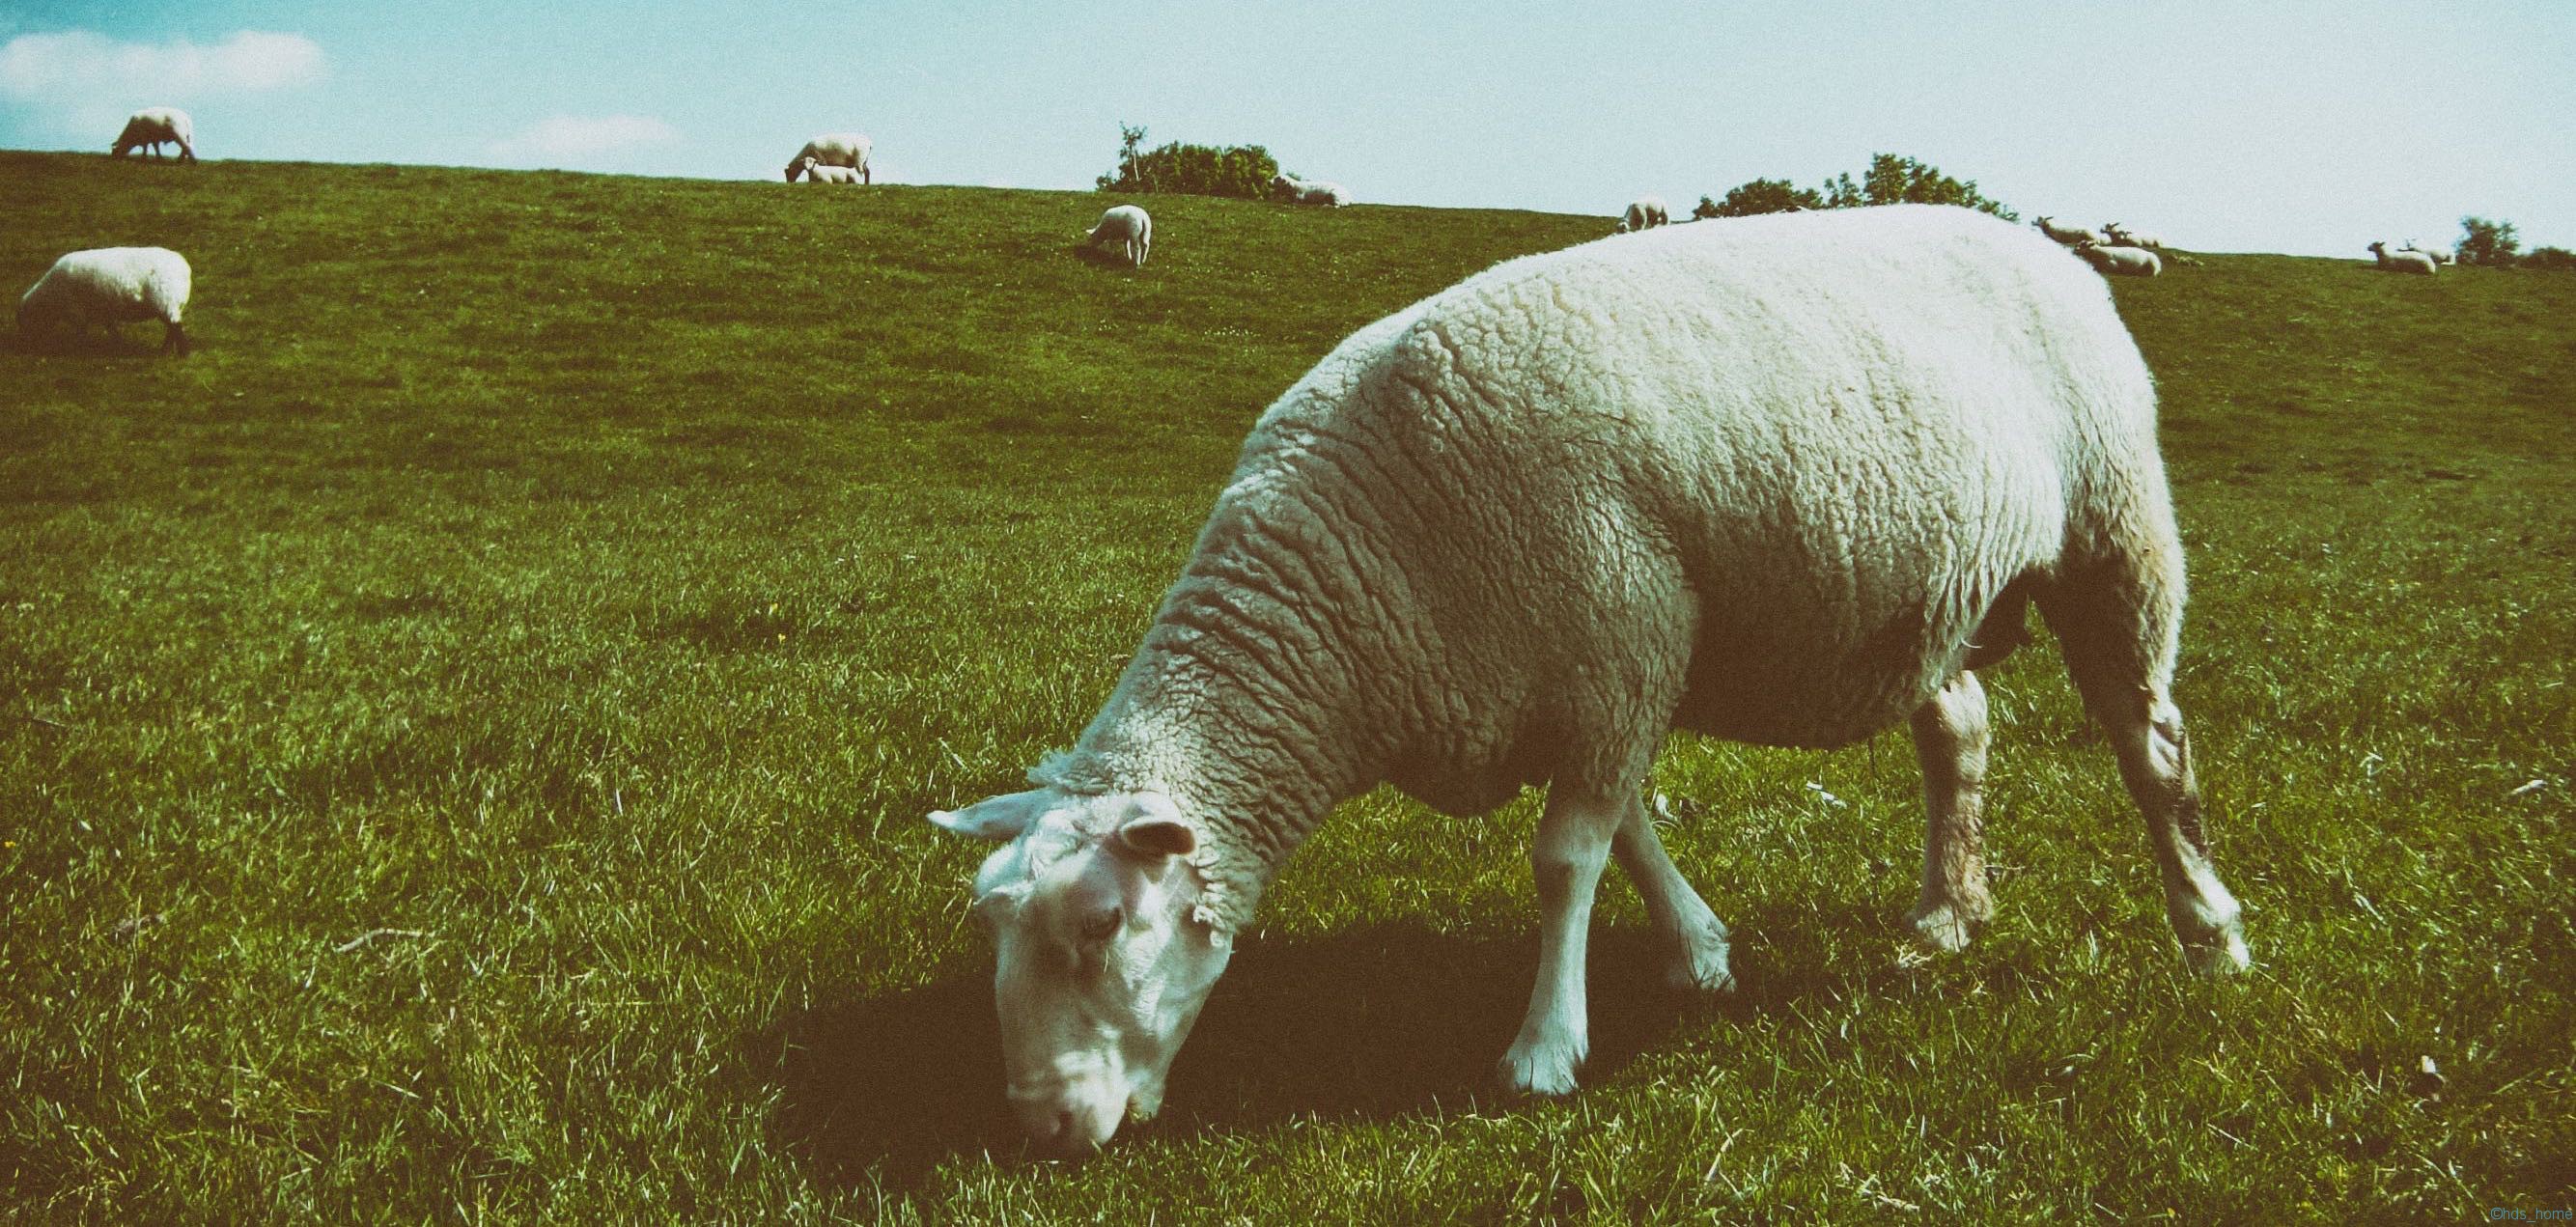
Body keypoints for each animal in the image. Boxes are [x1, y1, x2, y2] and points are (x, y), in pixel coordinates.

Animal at [18, 241, 194, 352]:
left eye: (28, 320)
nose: (24, 344)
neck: (50, 296)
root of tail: (184, 268)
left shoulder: (76, 311)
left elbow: (81, 332)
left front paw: (79, 347)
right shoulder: (104, 311)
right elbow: (111, 328)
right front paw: (119, 345)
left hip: (165, 300)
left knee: (175, 326)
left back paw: (179, 353)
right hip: (171, 303)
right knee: (172, 328)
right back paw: (167, 351)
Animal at [932, 203, 2256, 1159]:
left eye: (1101, 926)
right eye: (993, 924)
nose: (1039, 1128)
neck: (1357, 588)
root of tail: (2044, 245)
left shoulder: (1619, 642)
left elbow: (1567, 856)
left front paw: (1544, 1047)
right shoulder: (1594, 674)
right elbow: (1622, 828)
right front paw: (1699, 950)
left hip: (2112, 535)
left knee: (2149, 745)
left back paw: (2209, 932)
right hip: (1929, 598)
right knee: (1959, 734)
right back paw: (1944, 913)